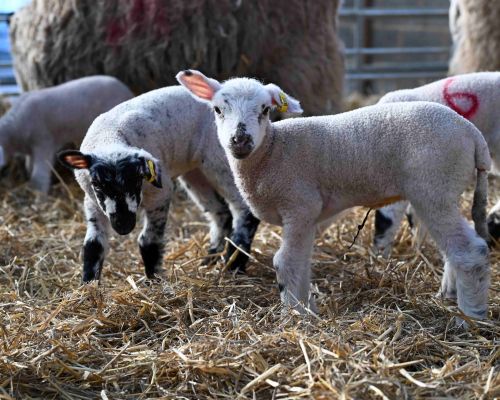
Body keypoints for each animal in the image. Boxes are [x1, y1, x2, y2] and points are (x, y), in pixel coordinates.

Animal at [58, 86, 260, 282]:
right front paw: (88, 284)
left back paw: (234, 265)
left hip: (221, 162)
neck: (110, 137)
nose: (124, 226)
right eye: (97, 184)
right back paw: (209, 259)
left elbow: (148, 240)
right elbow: (93, 245)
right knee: (221, 213)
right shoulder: (92, 202)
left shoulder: (160, 195)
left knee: (244, 210)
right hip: (195, 172)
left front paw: (153, 279)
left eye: (136, 179)